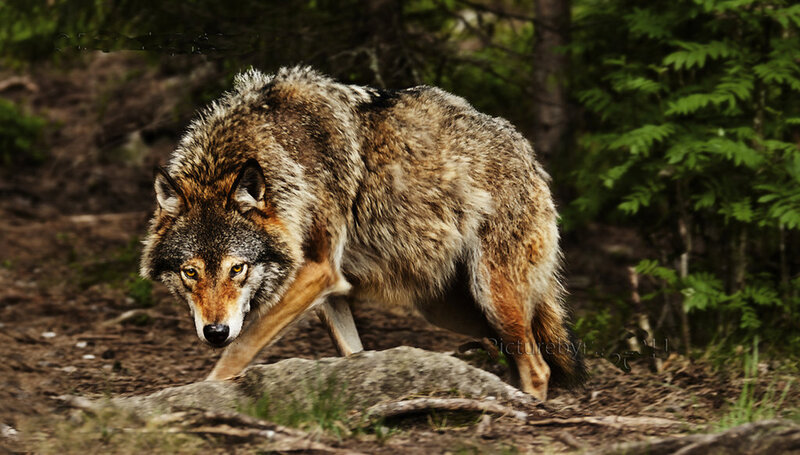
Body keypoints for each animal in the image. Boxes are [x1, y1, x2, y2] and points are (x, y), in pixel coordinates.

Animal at [140, 66, 585, 400]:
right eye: (191, 272)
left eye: (238, 269)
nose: (214, 332)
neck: (283, 157)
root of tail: (527, 153)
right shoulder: (331, 289)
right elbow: (352, 354)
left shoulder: (317, 271)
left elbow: (240, 349)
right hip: (453, 311)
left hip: (493, 296)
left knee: (538, 367)